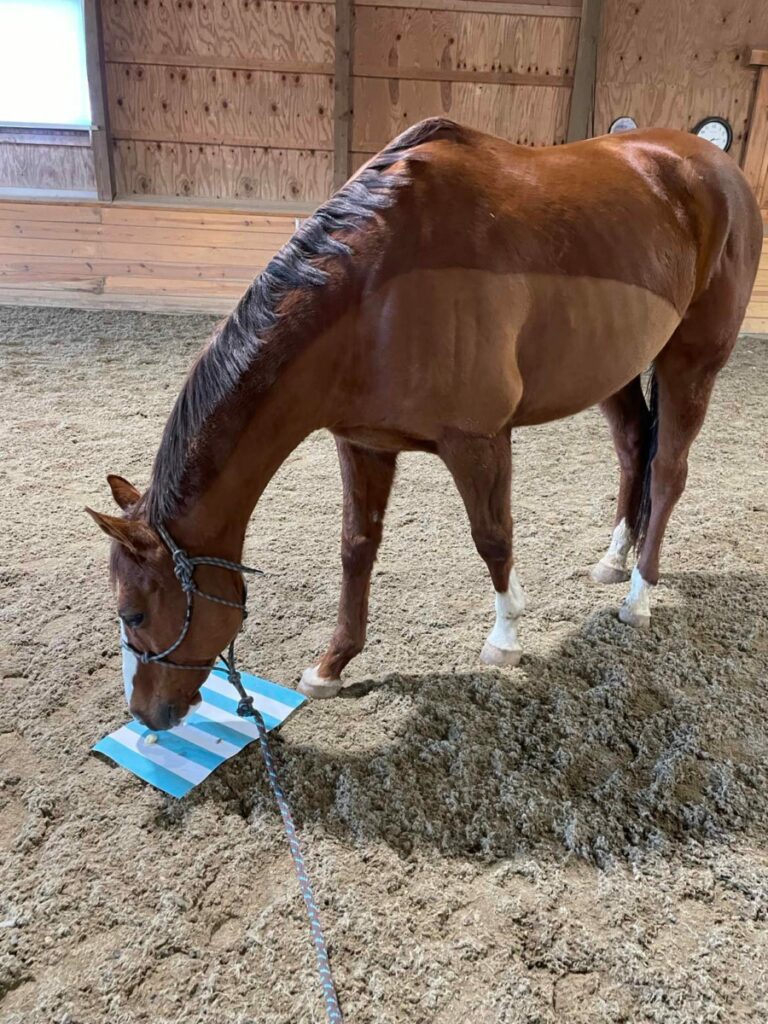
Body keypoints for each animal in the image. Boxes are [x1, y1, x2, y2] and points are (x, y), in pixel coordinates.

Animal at [86, 117, 762, 731]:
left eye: (134, 614)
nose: (146, 714)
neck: (376, 292)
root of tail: (713, 164)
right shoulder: (361, 445)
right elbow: (356, 547)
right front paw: (332, 665)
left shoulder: (479, 440)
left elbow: (493, 538)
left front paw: (505, 638)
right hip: (614, 366)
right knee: (632, 449)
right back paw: (613, 559)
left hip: (692, 362)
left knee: (667, 472)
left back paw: (638, 597)